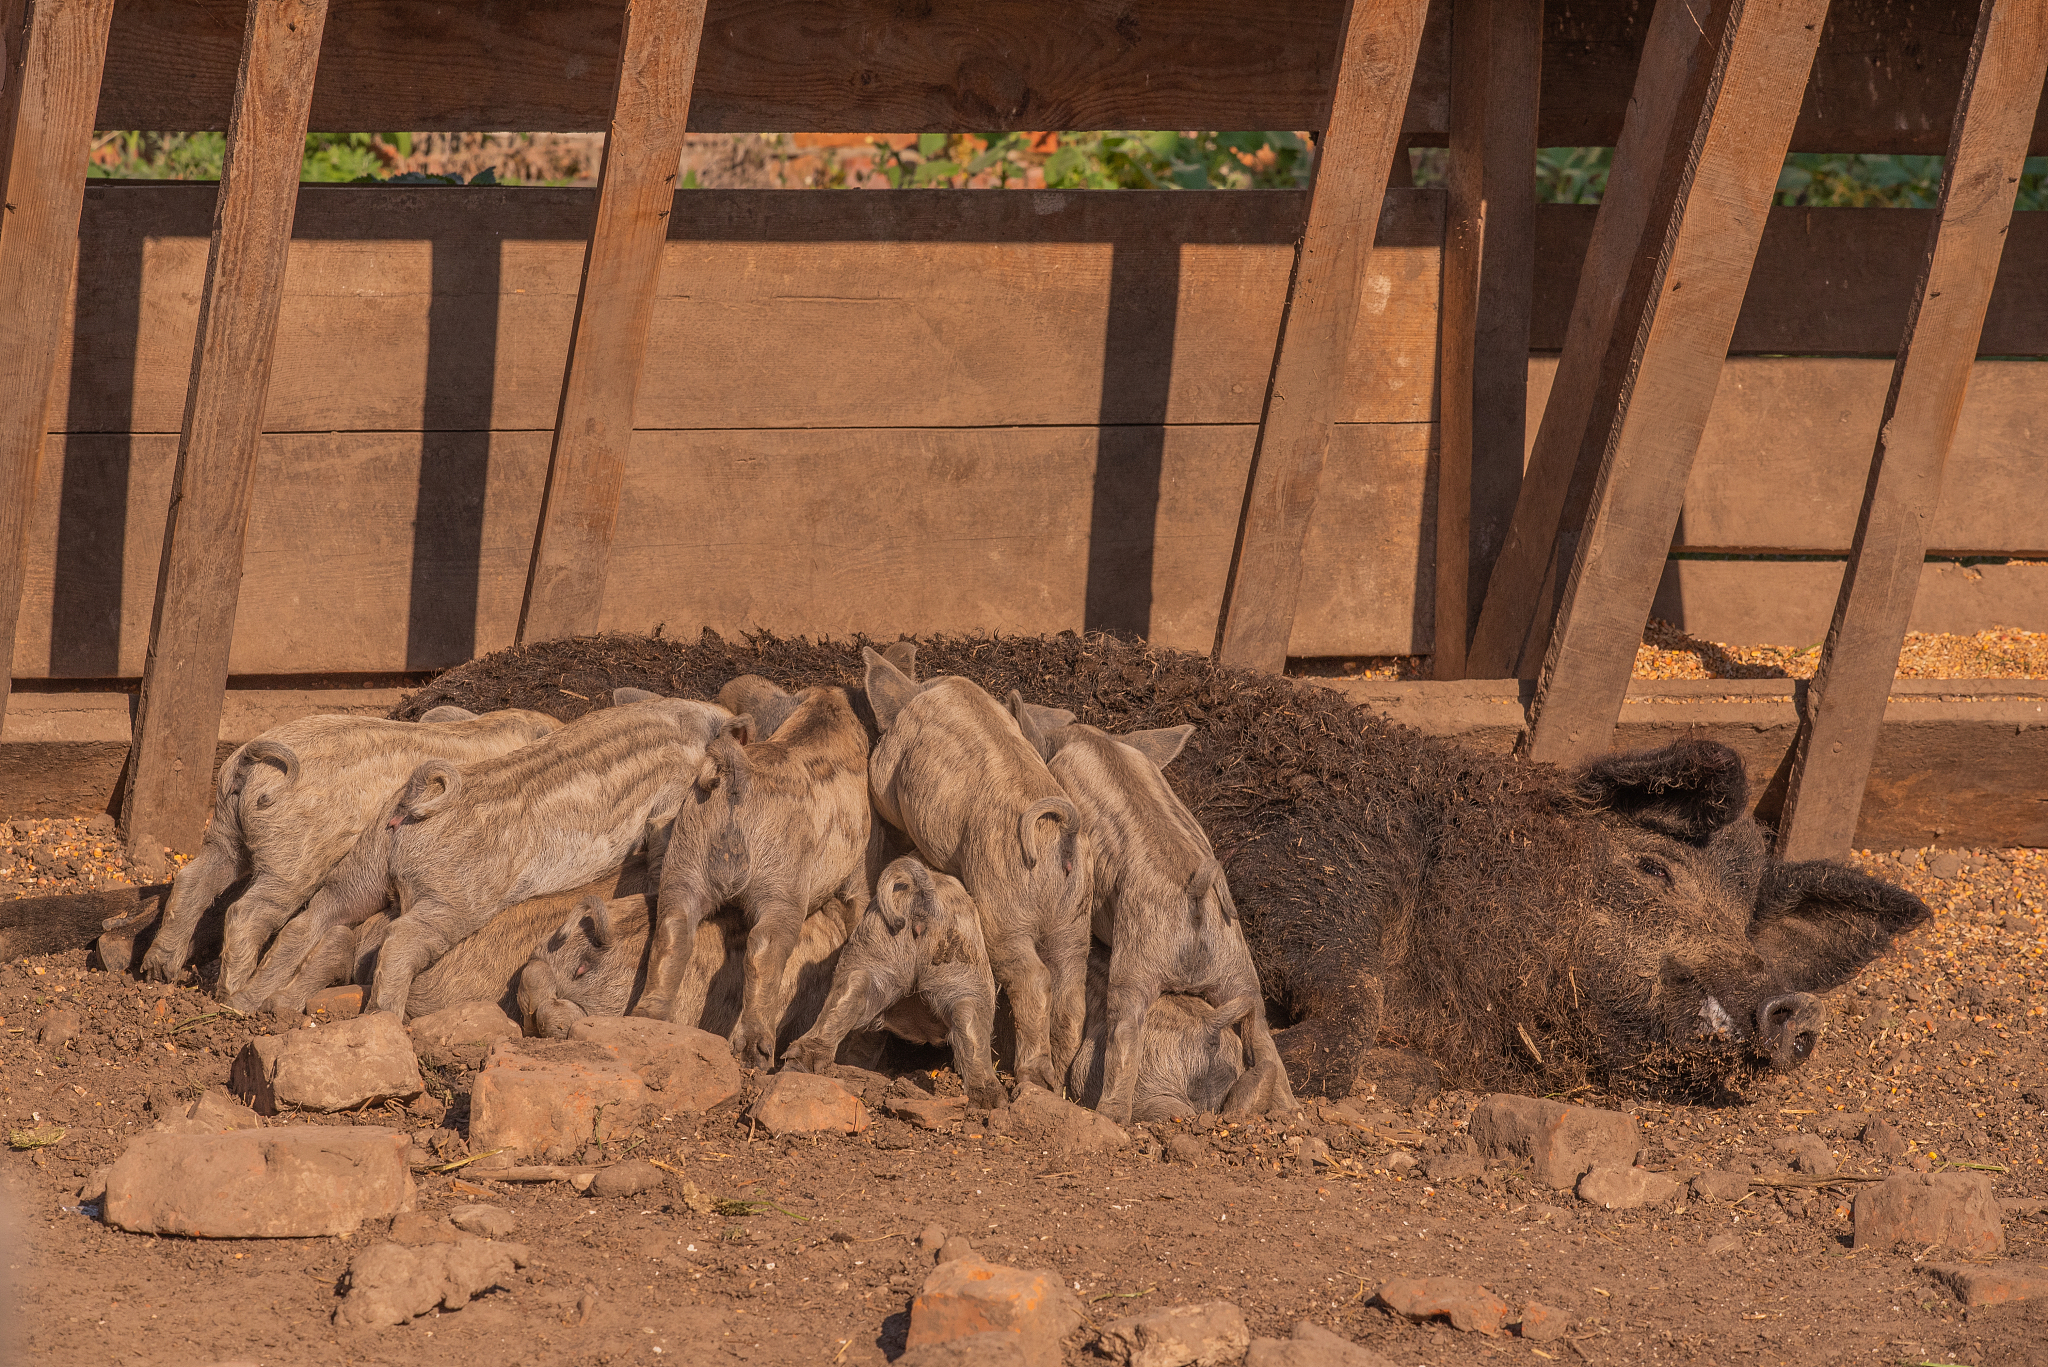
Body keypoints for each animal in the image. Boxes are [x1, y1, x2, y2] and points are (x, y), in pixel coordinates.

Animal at [138, 705, 561, 991]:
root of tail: (253, 758)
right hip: (294, 856)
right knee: (248, 910)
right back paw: (233, 992)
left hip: (225, 829)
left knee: (193, 878)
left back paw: (158, 971)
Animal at [237, 695, 732, 1020]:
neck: (677, 721)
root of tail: (419, 798)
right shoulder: (668, 800)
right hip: (453, 899)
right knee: (398, 938)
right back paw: (382, 1017)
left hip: (366, 864)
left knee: (315, 916)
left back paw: (251, 1001)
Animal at [636, 685, 872, 1069]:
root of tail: (736, 776)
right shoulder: (860, 863)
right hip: (782, 880)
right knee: (765, 944)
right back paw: (756, 1054)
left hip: (687, 855)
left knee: (673, 927)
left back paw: (648, 1020)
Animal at [783, 857, 1004, 1108]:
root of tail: (922, 895)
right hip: (968, 959)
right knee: (972, 1012)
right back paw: (992, 1101)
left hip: (876, 945)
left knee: (855, 985)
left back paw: (799, 1063)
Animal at [862, 648, 1092, 1095]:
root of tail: (1061, 832)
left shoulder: (885, 776)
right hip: (1076, 914)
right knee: (1072, 990)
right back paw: (1059, 1084)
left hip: (1002, 899)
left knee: (1034, 978)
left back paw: (1034, 1080)